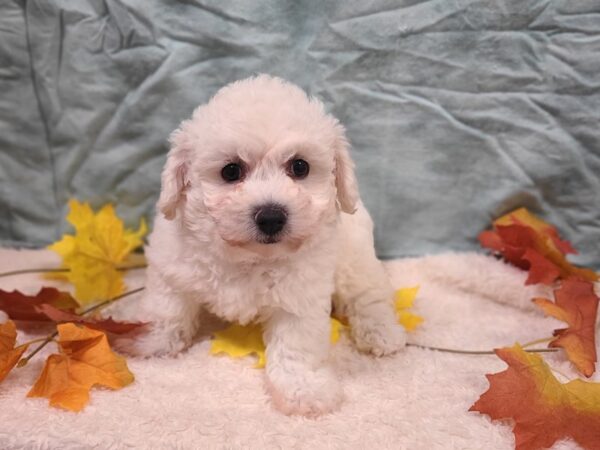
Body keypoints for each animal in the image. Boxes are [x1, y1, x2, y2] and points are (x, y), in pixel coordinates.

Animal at [126, 75, 408, 416]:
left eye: (300, 167)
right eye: (231, 171)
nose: (272, 217)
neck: (248, 257)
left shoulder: (300, 298)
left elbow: (296, 347)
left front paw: (303, 389)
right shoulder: (172, 268)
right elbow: (166, 309)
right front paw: (148, 341)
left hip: (355, 259)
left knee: (369, 295)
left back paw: (382, 333)